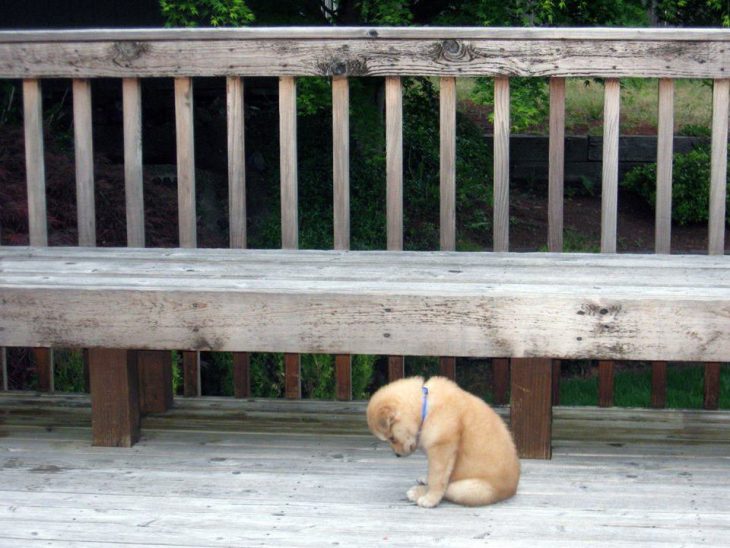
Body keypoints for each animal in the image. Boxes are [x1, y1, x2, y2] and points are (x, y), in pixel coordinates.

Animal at [364, 374, 516, 508]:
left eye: (392, 438)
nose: (397, 455)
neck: (425, 408)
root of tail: (511, 490)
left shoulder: (442, 449)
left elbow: (436, 479)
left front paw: (430, 499)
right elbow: (431, 472)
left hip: (468, 489)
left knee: (448, 490)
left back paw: (418, 492)